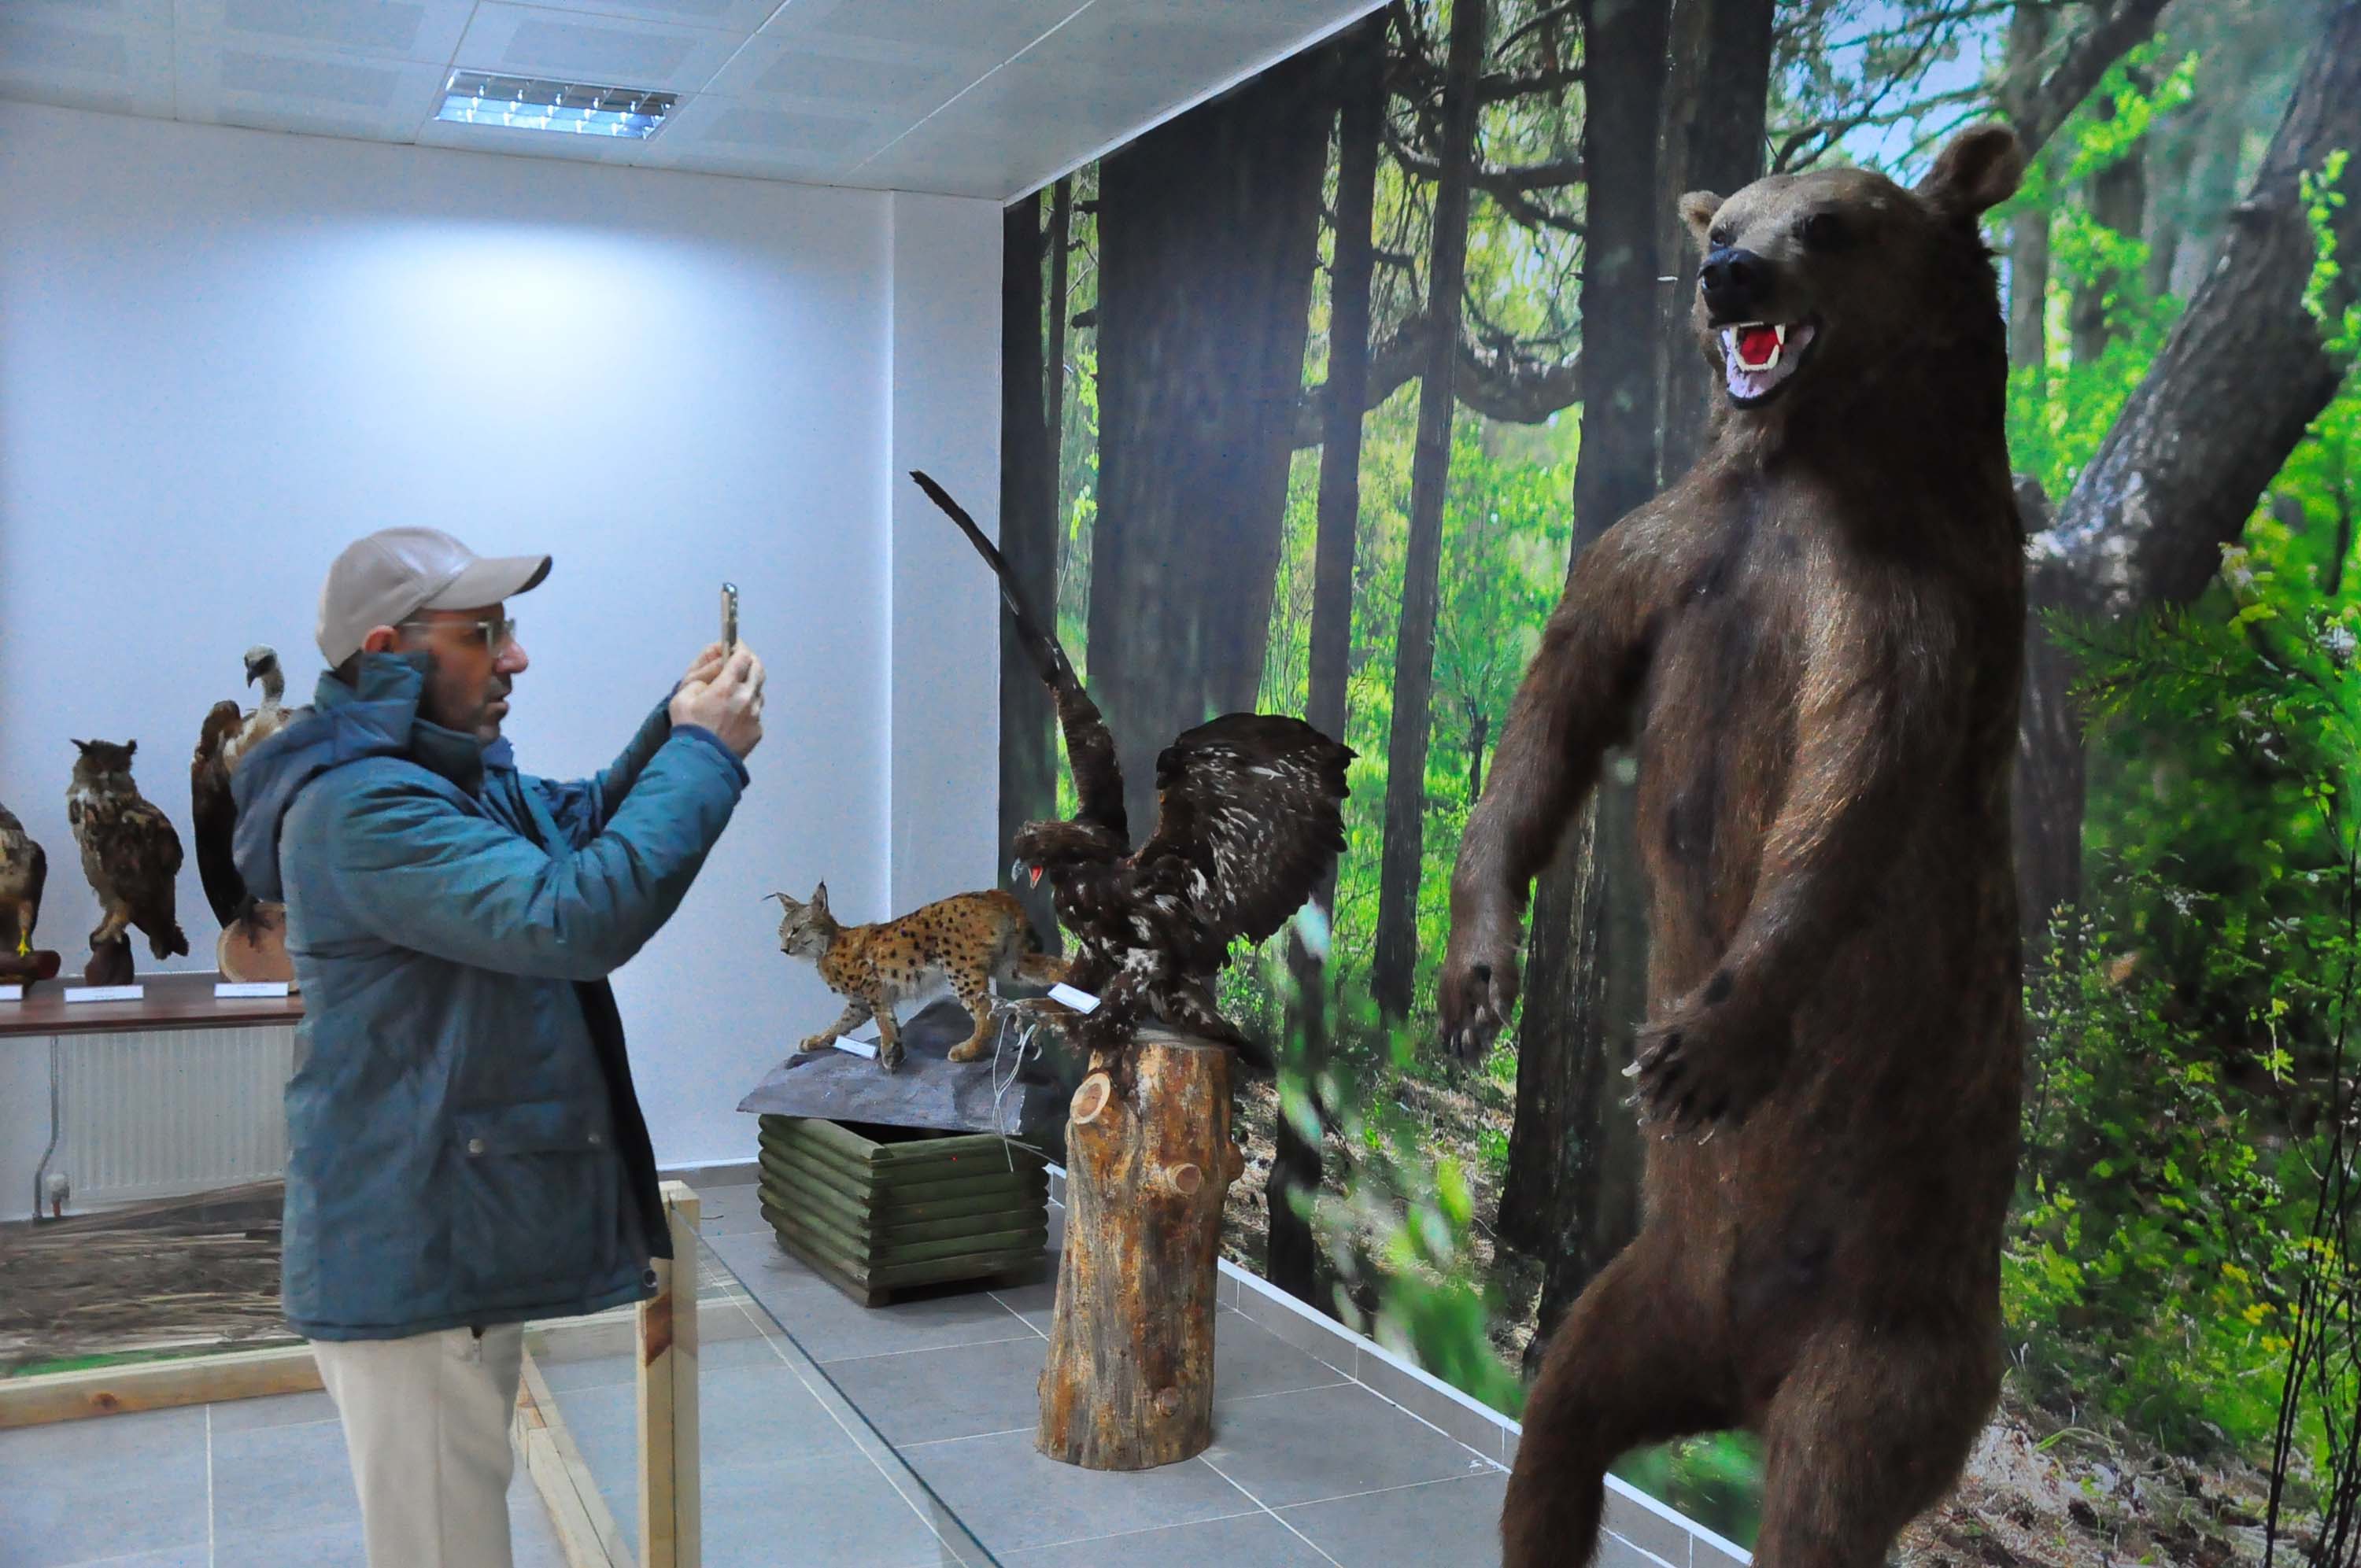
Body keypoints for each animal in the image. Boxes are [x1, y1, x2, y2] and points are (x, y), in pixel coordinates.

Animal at [1435, 125, 2030, 1568]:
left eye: (1835, 221)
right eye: (1728, 217)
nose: (1728, 276)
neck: (1802, 465)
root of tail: (1744, 1381)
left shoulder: (1894, 600)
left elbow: (1852, 785)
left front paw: (1702, 1044)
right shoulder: (1666, 549)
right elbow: (1553, 712)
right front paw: (1476, 979)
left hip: (1892, 1342)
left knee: (1830, 1491)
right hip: (1647, 1294)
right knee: (1561, 1427)